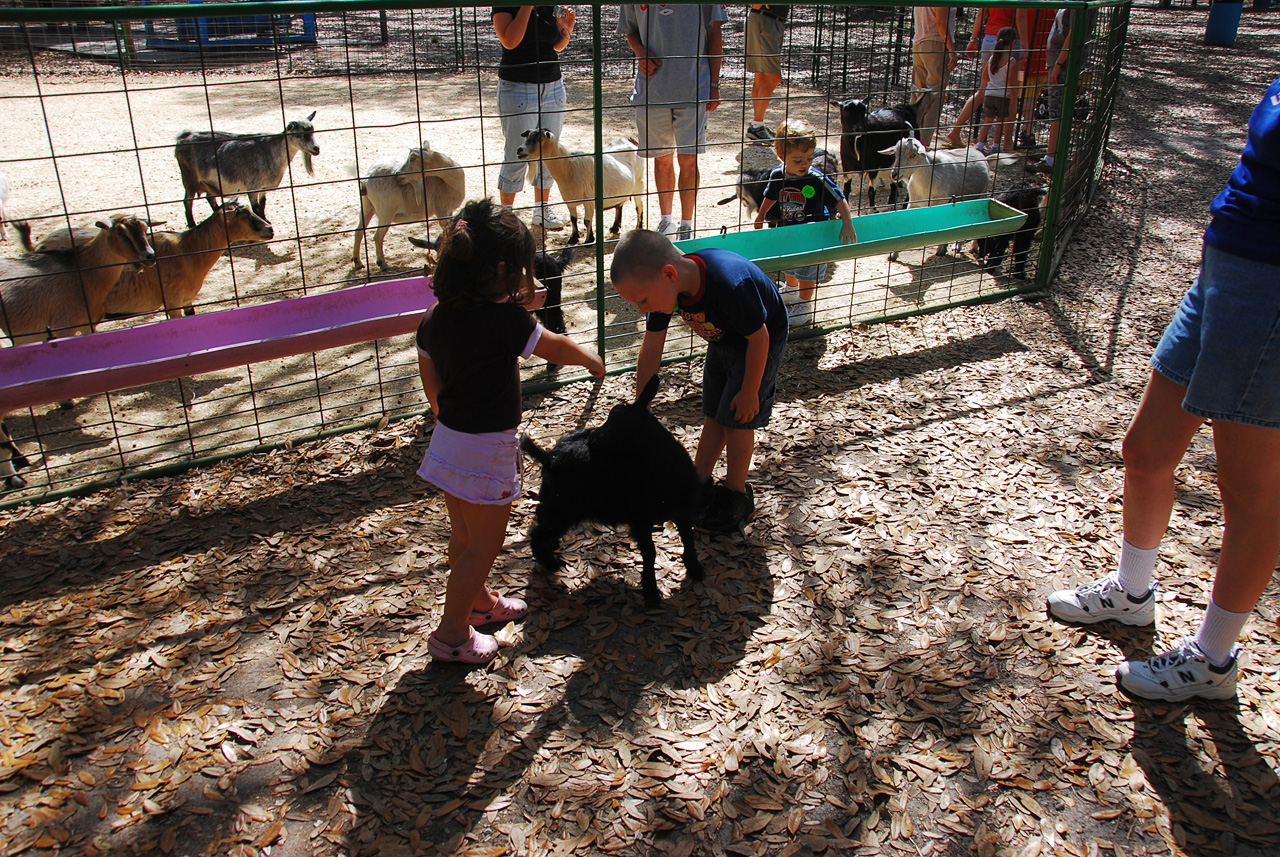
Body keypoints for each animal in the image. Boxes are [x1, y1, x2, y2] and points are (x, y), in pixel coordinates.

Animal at [175, 112, 320, 230]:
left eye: (312, 132)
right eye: (300, 135)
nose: (316, 148)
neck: (270, 151)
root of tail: (182, 139)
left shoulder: (263, 187)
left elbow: (262, 204)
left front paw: (266, 220)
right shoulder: (252, 185)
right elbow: (255, 207)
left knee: (209, 197)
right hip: (189, 179)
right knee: (187, 202)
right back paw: (192, 225)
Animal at [514, 129, 645, 246]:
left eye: (539, 139)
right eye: (527, 136)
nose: (519, 150)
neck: (569, 166)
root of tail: (631, 142)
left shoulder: (589, 199)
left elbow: (586, 220)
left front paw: (588, 240)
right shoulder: (569, 199)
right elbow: (573, 218)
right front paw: (573, 238)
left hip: (639, 183)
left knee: (639, 206)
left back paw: (638, 228)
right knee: (620, 204)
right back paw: (614, 227)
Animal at [517, 378, 706, 611]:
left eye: (613, 419)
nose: (591, 436)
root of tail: (548, 456)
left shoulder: (682, 511)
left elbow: (688, 539)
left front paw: (695, 568)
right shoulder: (641, 520)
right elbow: (650, 552)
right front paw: (651, 593)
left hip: (554, 499)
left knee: (542, 521)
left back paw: (552, 547)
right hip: (565, 507)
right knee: (539, 531)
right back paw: (550, 563)